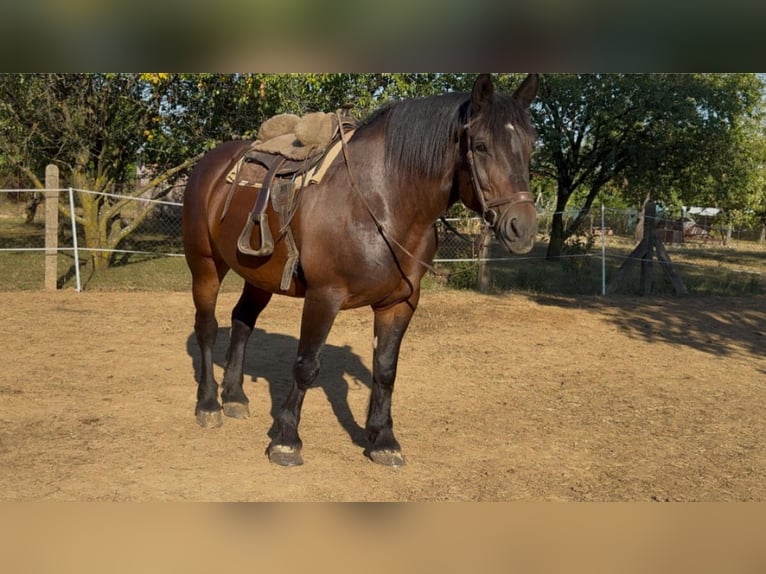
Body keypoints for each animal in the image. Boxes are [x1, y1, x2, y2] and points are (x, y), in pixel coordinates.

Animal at [182, 73, 539, 467]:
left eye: (530, 146)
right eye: (480, 145)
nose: (522, 228)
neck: (381, 200)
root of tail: (209, 164)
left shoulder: (400, 303)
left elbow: (385, 370)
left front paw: (383, 440)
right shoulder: (324, 296)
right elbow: (306, 365)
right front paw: (287, 440)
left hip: (258, 276)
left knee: (242, 321)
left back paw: (234, 397)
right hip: (205, 265)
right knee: (207, 328)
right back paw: (209, 404)